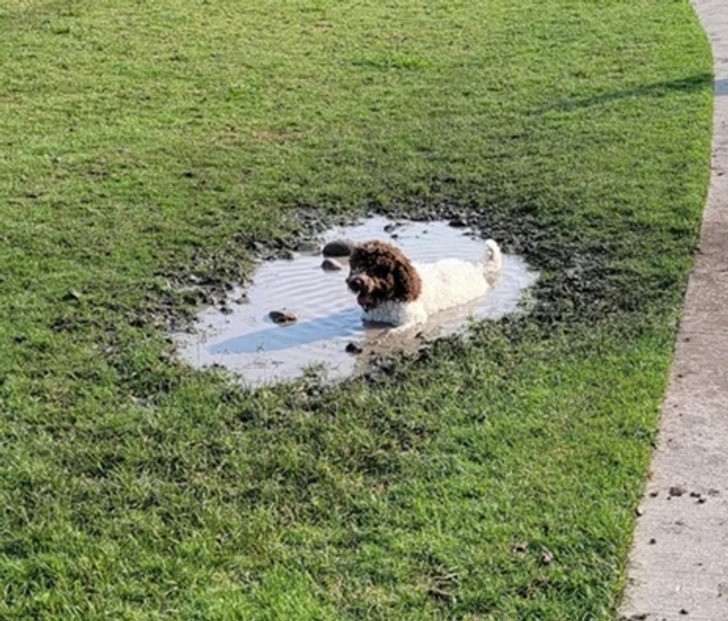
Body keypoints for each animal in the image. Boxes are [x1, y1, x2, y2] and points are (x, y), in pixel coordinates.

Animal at [346, 236, 500, 330]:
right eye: (355, 265)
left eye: (375, 267)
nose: (354, 282)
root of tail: (476, 268)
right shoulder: (368, 321)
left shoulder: (413, 319)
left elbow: (391, 332)